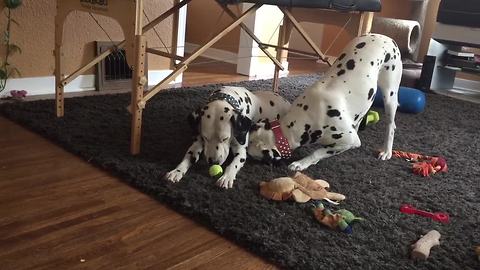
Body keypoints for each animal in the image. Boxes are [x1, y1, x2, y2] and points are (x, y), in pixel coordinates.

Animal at [248, 33, 402, 171]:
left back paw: (386, 151)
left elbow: (318, 152)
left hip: (390, 96)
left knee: (391, 125)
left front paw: (301, 163)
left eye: (250, 155)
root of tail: (387, 38)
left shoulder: (347, 140)